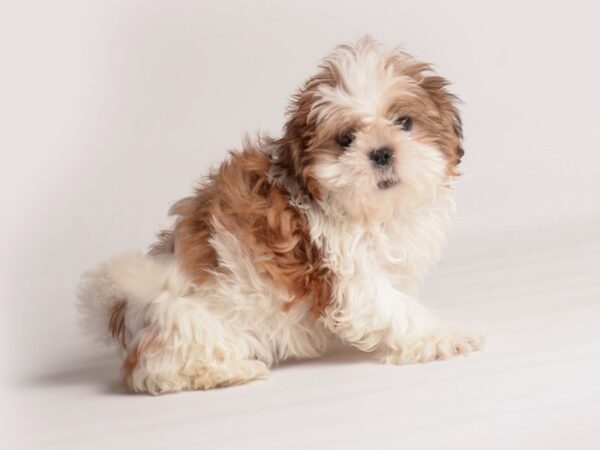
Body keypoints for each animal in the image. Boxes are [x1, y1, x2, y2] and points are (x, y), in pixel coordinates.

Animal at [77, 37, 486, 394]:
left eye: (404, 122)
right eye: (346, 139)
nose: (382, 152)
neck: (374, 213)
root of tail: (129, 310)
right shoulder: (345, 273)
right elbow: (395, 308)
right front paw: (447, 336)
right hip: (191, 325)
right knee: (156, 372)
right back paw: (231, 371)